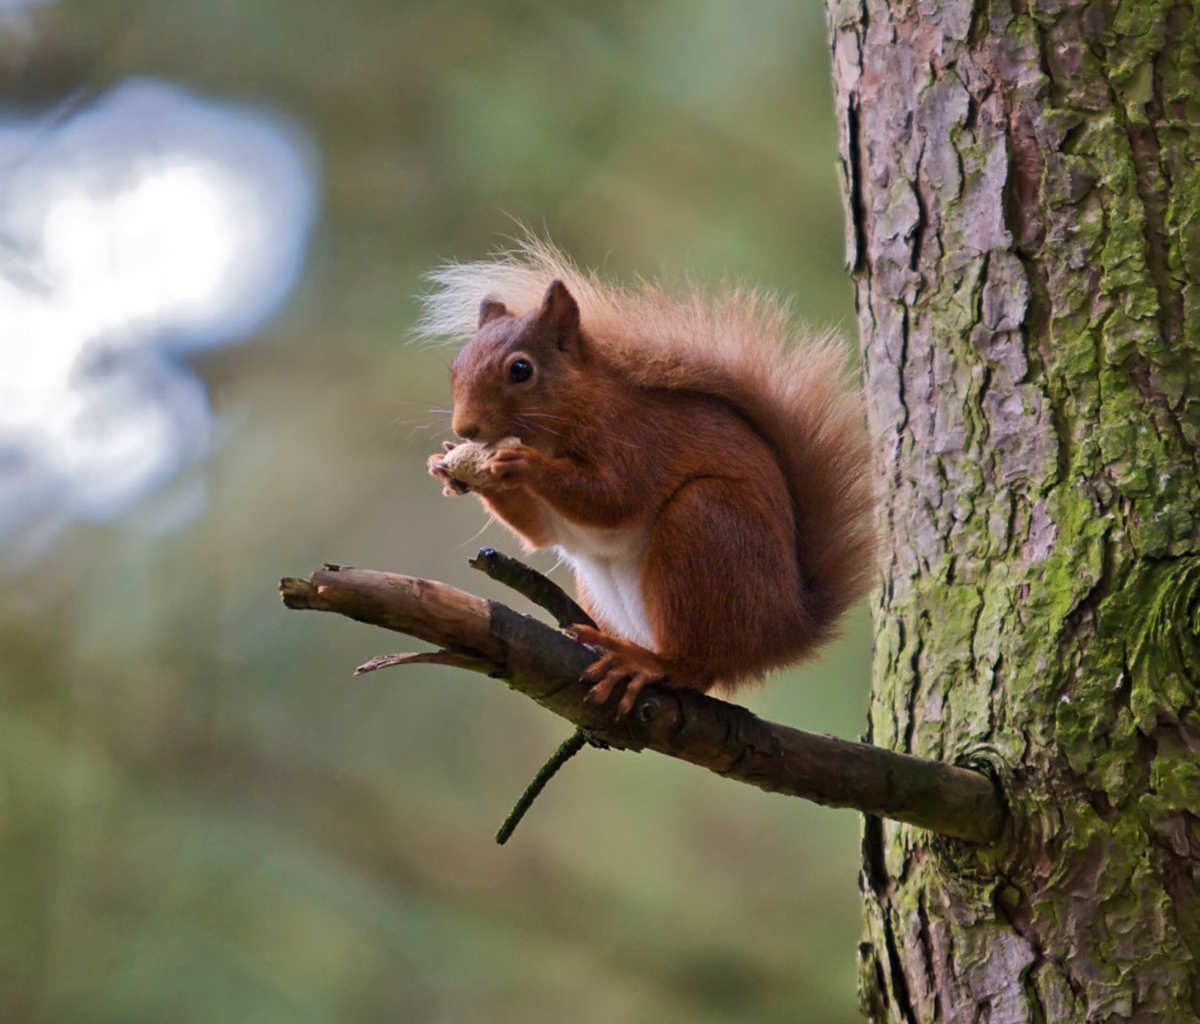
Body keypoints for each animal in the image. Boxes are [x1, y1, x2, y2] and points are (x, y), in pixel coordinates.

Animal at [427, 242, 878, 715]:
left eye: (520, 370)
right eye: (456, 367)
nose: (465, 429)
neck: (575, 409)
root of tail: (785, 631)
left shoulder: (635, 440)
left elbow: (614, 497)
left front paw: (522, 464)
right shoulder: (551, 516)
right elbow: (540, 532)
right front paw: (446, 466)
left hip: (705, 531)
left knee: (696, 665)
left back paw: (645, 663)